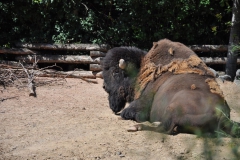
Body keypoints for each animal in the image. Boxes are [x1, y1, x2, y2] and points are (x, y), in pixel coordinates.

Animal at [101, 38, 240, 136]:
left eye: (115, 72)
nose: (104, 87)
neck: (141, 69)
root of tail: (221, 115)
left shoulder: (142, 101)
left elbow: (128, 113)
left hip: (173, 107)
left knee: (164, 128)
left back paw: (135, 127)